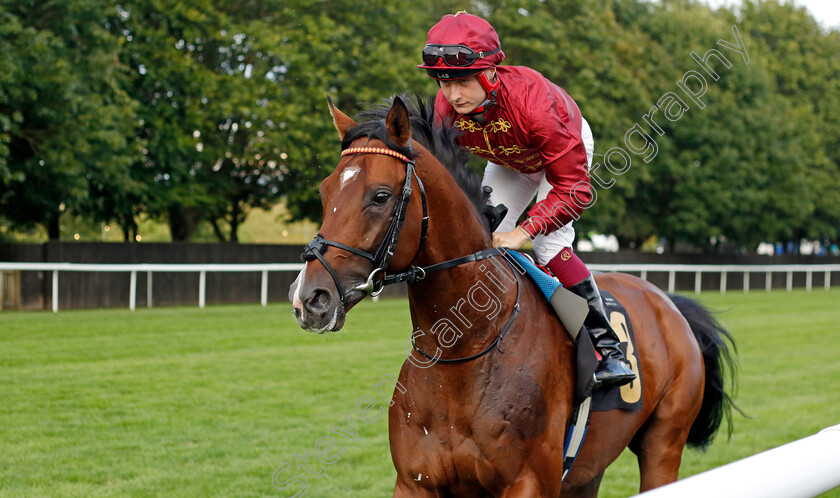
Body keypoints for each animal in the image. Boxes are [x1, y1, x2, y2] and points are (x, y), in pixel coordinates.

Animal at [290, 95, 736, 496]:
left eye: (380, 196)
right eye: (324, 192)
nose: (309, 298)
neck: (464, 352)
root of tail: (669, 302)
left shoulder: (529, 482)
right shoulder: (415, 482)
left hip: (664, 445)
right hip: (588, 470)